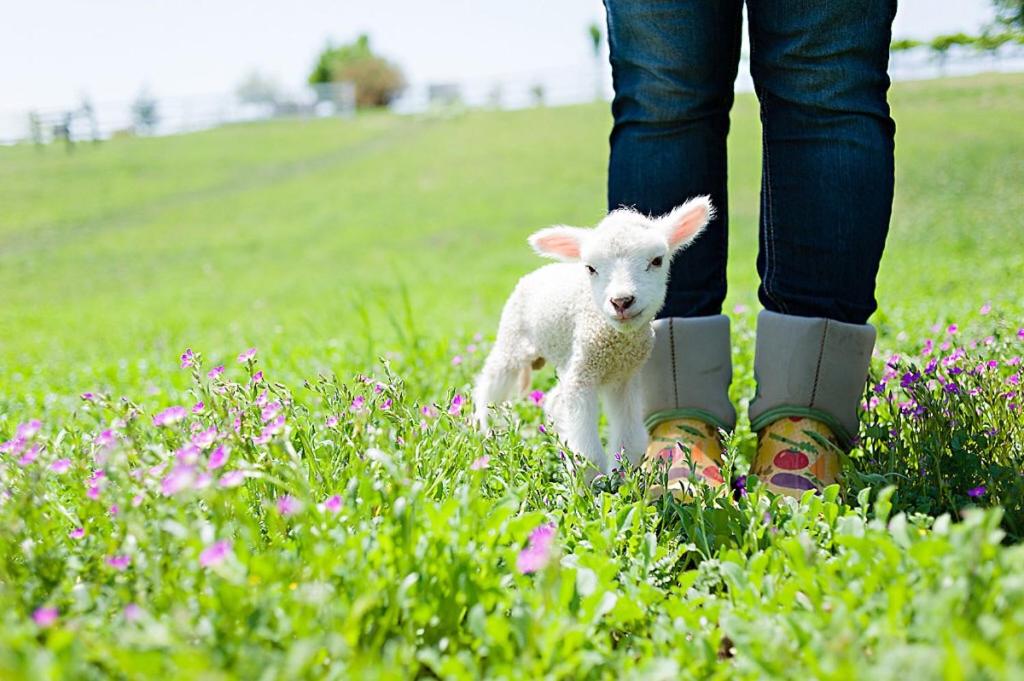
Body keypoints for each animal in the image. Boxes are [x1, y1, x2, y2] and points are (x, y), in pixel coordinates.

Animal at [472, 197, 713, 480]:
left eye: (656, 260)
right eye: (590, 268)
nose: (621, 301)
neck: (615, 343)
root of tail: (545, 269)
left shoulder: (623, 378)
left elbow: (630, 440)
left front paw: (622, 477)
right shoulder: (583, 375)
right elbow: (586, 453)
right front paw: (591, 484)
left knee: (554, 400)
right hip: (513, 337)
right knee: (489, 385)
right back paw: (485, 432)